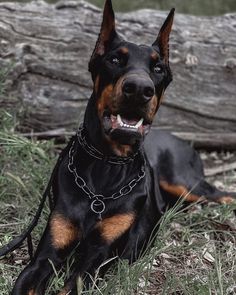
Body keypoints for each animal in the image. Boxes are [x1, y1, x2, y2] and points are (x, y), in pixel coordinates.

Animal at [6, 0, 235, 294]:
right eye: (114, 60)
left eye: (158, 68)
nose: (138, 88)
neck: (106, 164)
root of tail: (183, 141)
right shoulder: (46, 254)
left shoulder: (98, 257)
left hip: (186, 184)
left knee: (224, 195)